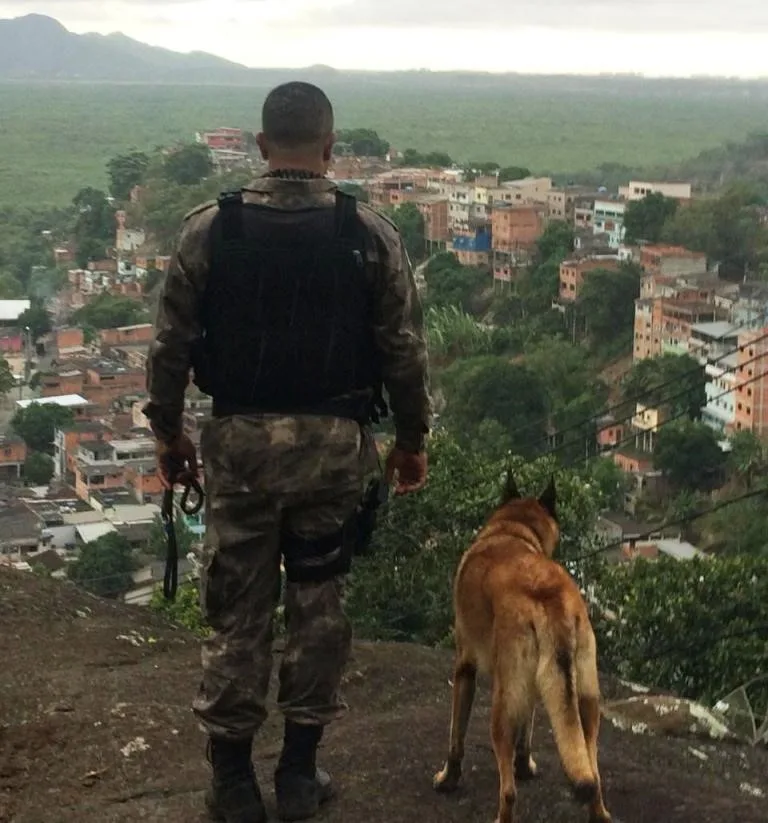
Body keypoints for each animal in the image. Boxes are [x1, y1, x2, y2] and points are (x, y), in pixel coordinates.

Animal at [432, 474, 612, 823]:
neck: (513, 529)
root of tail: (551, 597)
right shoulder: (532, 686)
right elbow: (526, 731)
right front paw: (524, 765)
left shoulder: (465, 668)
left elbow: (456, 736)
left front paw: (449, 778)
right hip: (586, 699)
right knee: (593, 774)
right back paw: (598, 811)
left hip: (503, 702)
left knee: (508, 791)